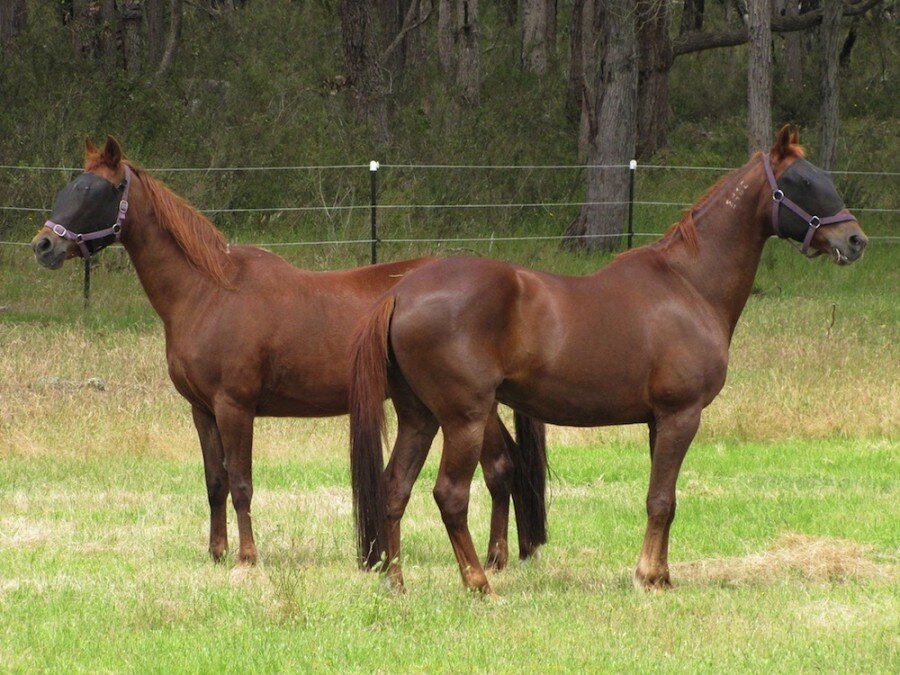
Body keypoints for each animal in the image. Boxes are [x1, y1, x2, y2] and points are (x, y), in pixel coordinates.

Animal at [29, 137, 548, 572]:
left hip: (466, 407)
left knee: (500, 468)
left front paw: (247, 557)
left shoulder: (234, 406)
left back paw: (495, 559)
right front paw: (216, 552)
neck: (208, 293)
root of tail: (511, 284)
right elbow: (215, 483)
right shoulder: (202, 410)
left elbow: (240, 483)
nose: (43, 244)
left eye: (95, 190)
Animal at [350, 124, 864, 596]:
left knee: (395, 488)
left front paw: (661, 574)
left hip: (420, 417)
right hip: (464, 419)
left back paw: (396, 583)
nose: (856, 240)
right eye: (802, 180)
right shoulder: (681, 415)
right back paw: (478, 584)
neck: (689, 285)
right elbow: (661, 500)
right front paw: (648, 577)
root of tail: (400, 292)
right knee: (450, 495)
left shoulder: (659, 420)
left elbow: (664, 498)